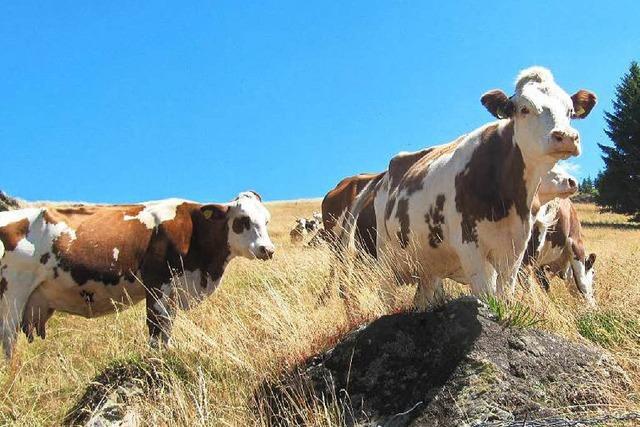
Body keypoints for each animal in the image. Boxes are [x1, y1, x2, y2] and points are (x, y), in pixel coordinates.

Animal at [0, 192, 272, 360]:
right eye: (243, 220)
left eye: (266, 220)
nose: (267, 249)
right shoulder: (157, 283)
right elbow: (156, 326)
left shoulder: (174, 290)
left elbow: (167, 327)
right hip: (11, 293)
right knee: (9, 340)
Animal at [342, 66, 596, 308]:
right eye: (524, 108)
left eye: (570, 111)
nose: (567, 137)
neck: (506, 196)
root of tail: (383, 175)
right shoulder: (471, 247)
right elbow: (486, 296)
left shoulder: (515, 251)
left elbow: (505, 297)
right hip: (386, 256)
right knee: (387, 296)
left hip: (428, 266)